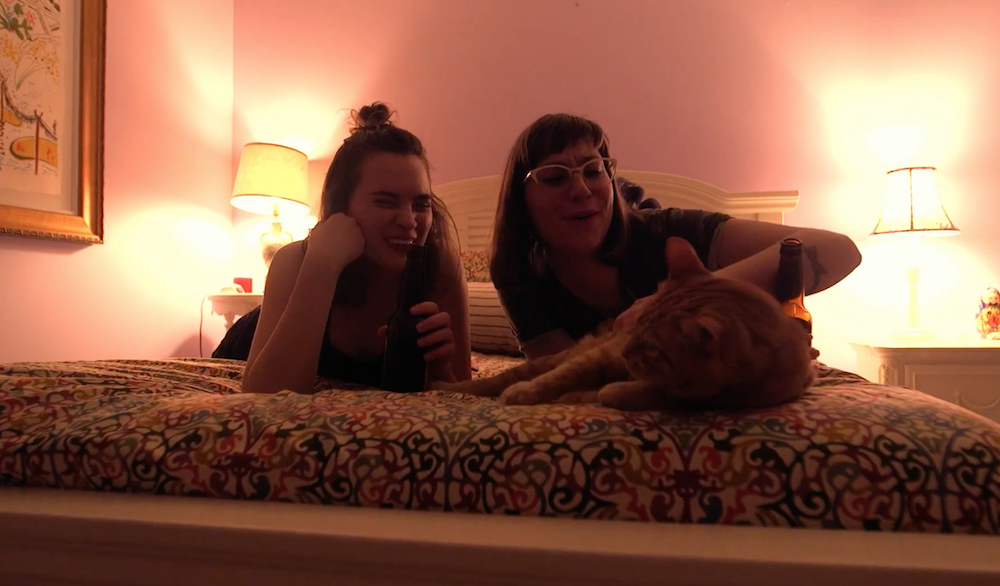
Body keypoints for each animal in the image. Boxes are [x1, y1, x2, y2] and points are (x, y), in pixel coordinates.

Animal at [436, 237, 817, 411]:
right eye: (637, 325)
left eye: (652, 347)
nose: (625, 351)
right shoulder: (597, 357)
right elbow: (561, 378)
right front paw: (530, 393)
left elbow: (649, 394)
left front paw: (608, 392)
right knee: (508, 376)